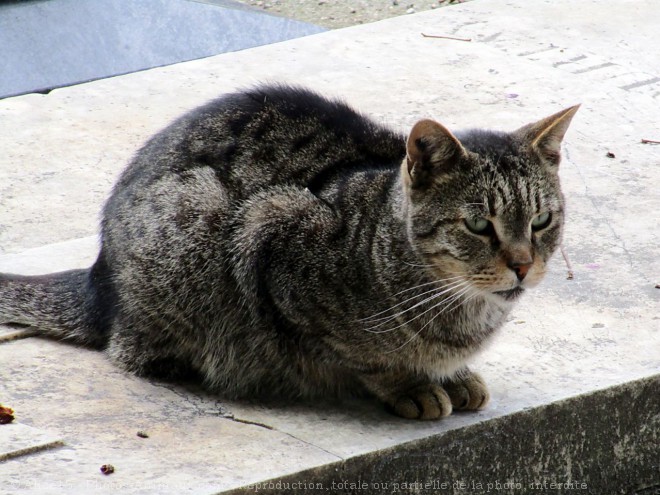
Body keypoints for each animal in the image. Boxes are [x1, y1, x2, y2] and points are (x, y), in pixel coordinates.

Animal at [0, 85, 576, 418]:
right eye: (479, 225)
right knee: (133, 349)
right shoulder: (274, 238)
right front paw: (411, 384)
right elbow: (361, 356)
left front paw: (451, 376)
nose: (523, 265)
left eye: (541, 220)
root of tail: (99, 275)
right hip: (196, 234)